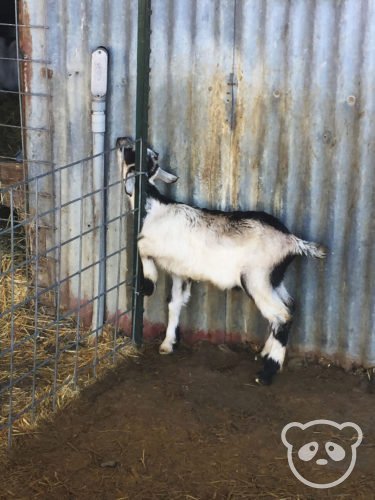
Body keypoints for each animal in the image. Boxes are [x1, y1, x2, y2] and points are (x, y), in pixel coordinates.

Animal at [119, 138, 328, 386]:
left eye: (131, 151)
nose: (120, 141)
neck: (153, 207)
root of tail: (292, 241)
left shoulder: (152, 246)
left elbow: (142, 250)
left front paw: (147, 285)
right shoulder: (180, 272)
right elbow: (174, 303)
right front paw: (169, 343)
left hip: (256, 279)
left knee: (282, 316)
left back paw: (267, 372)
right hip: (274, 279)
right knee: (290, 305)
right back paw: (264, 353)